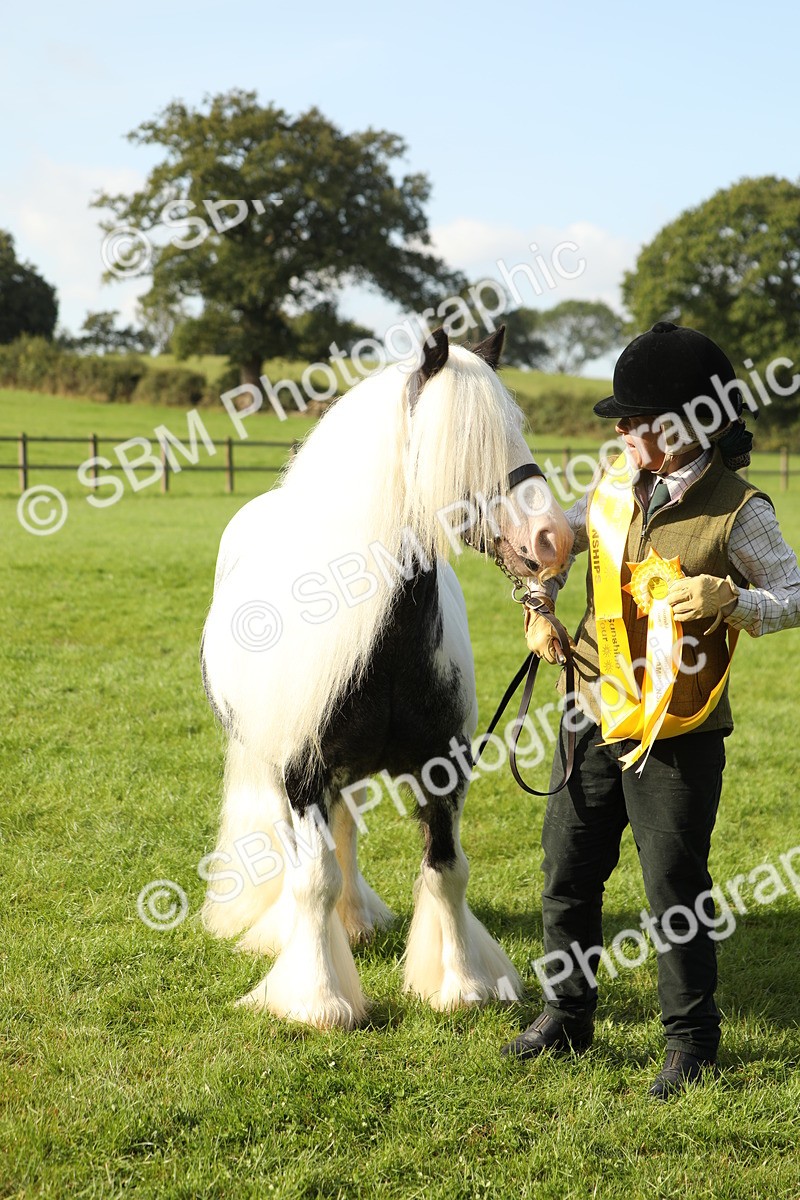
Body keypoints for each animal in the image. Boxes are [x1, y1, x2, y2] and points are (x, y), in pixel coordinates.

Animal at [199, 325, 574, 1029]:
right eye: (464, 443)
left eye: (518, 428)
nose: (552, 538)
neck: (389, 640)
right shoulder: (302, 773)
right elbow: (312, 877)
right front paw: (319, 1000)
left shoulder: (442, 768)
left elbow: (446, 870)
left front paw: (460, 984)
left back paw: (356, 922)